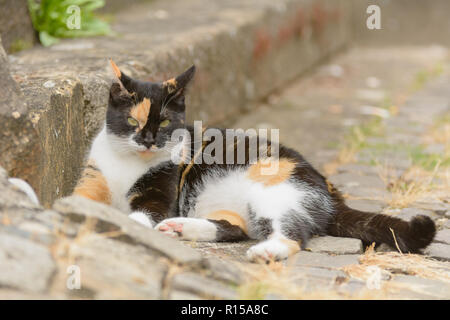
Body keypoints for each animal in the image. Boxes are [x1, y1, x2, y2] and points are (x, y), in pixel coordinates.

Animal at [73, 60, 436, 262]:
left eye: (163, 123)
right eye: (132, 121)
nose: (148, 141)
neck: (128, 163)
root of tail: (331, 192)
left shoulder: (162, 192)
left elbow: (144, 212)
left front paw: (124, 224)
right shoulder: (93, 176)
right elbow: (80, 199)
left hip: (279, 193)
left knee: (290, 233)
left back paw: (266, 251)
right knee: (234, 227)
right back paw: (181, 227)